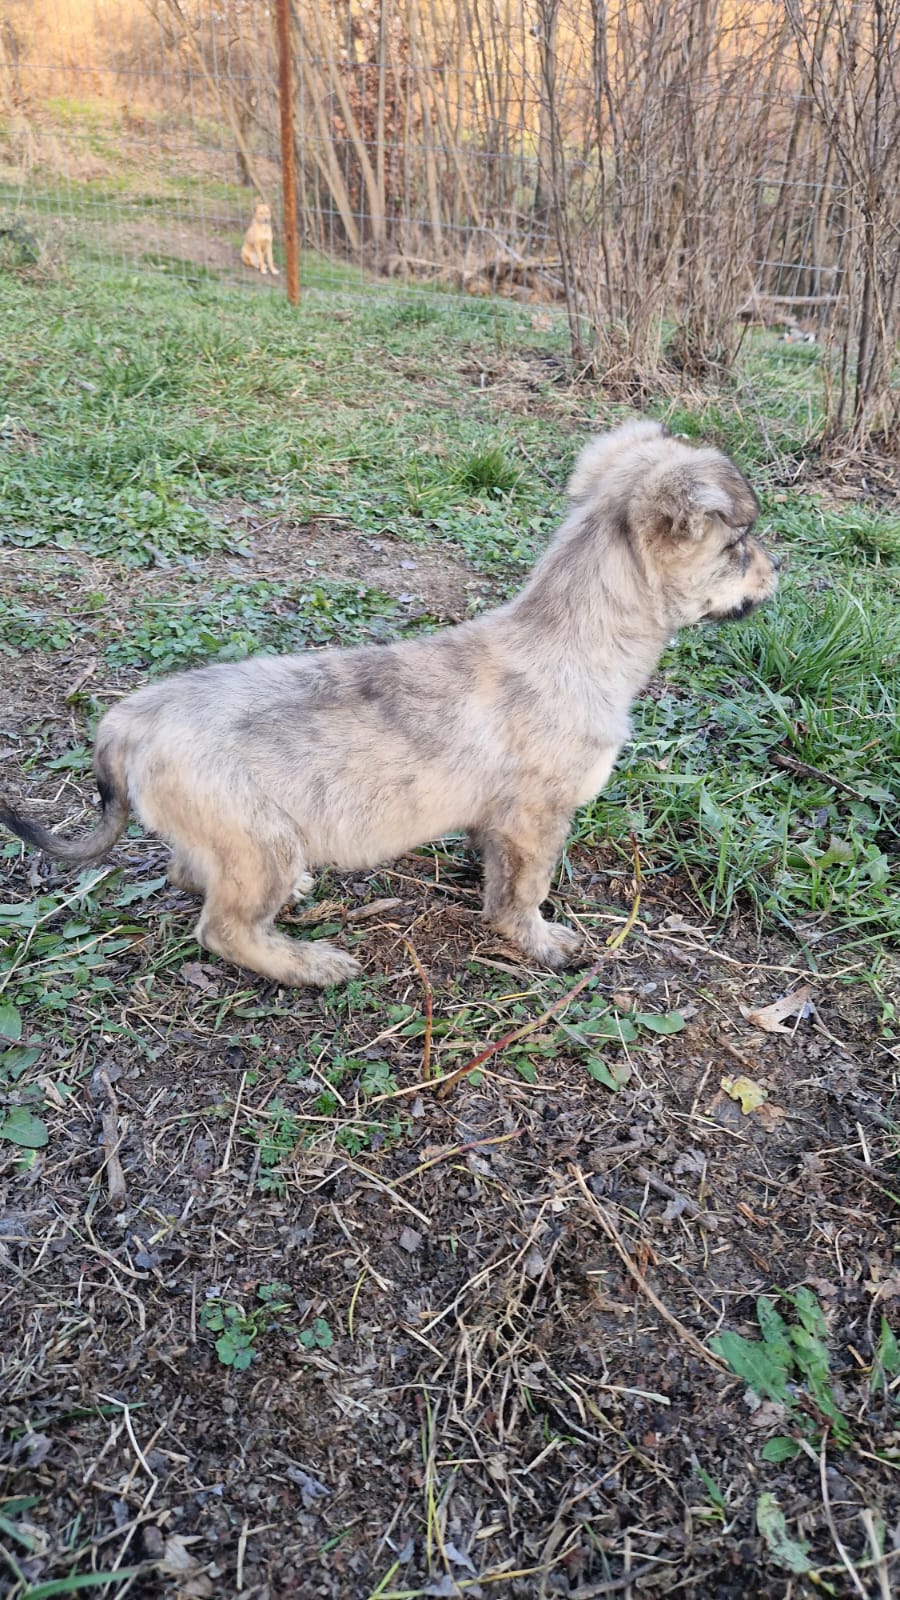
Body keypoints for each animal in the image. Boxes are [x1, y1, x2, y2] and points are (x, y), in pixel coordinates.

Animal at [0, 421, 777, 988]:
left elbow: (496, 878)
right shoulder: (537, 819)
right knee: (222, 928)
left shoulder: (501, 822)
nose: (780, 570)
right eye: (740, 547)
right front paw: (542, 943)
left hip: (235, 843)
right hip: (261, 843)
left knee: (189, 874)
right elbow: (524, 894)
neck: (574, 641)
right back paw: (309, 966)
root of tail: (129, 720)